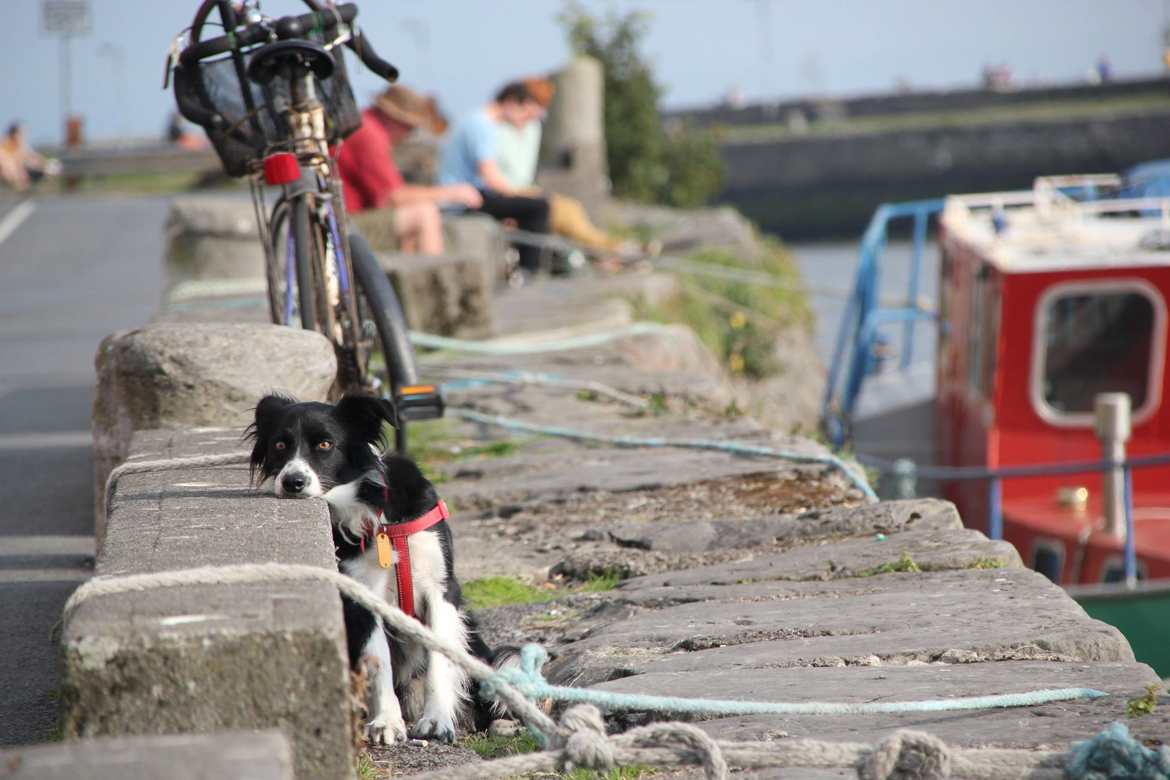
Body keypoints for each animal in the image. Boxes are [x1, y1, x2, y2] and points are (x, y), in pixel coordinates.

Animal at [244, 397, 486, 743]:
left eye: (325, 444)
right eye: (279, 445)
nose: (292, 482)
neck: (374, 513)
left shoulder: (441, 588)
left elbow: (439, 656)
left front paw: (437, 719)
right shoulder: (361, 595)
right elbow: (378, 657)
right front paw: (387, 721)